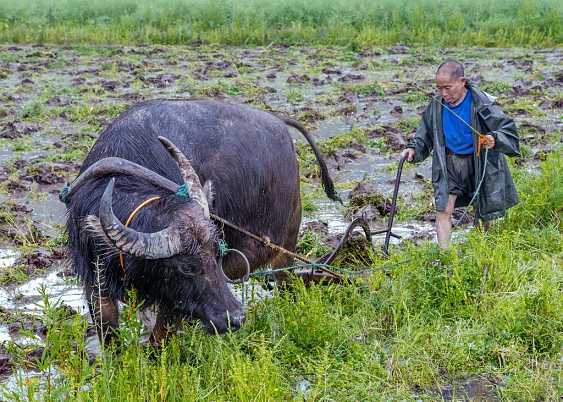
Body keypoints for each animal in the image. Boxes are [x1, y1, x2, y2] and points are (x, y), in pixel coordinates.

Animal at [64, 98, 342, 342]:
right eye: (187, 267)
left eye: (216, 256)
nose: (236, 318)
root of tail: (278, 122)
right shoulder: (95, 283)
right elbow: (109, 336)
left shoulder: (173, 302)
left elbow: (158, 340)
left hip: (283, 246)